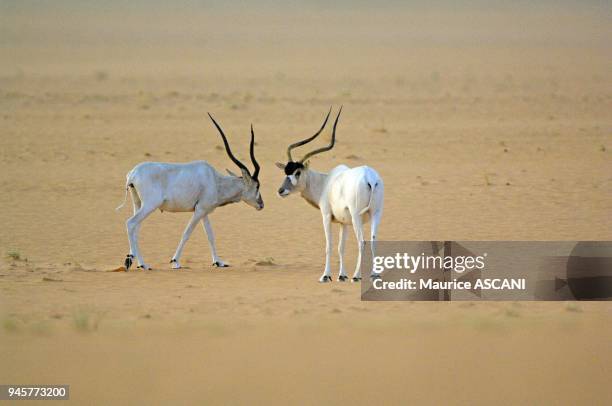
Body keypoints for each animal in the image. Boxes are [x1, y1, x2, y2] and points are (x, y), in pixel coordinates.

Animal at [117, 114, 262, 272]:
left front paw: (218, 262)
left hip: (138, 203)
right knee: (131, 223)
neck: (214, 179)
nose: (261, 204)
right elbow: (186, 233)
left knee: (136, 228)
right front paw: (175, 262)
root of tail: (133, 174)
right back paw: (138, 263)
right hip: (150, 205)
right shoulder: (199, 210)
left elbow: (210, 235)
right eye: (257, 186)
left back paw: (136, 262)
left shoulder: (203, 211)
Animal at [276, 107, 382, 282]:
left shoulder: (326, 216)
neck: (326, 182)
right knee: (373, 241)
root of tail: (370, 178)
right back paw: (374, 274)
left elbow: (329, 245)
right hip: (375, 214)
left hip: (357, 216)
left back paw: (357, 276)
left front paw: (325, 276)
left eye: (298, 172)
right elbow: (341, 247)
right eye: (286, 171)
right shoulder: (343, 223)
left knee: (362, 242)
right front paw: (342, 275)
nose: (281, 190)